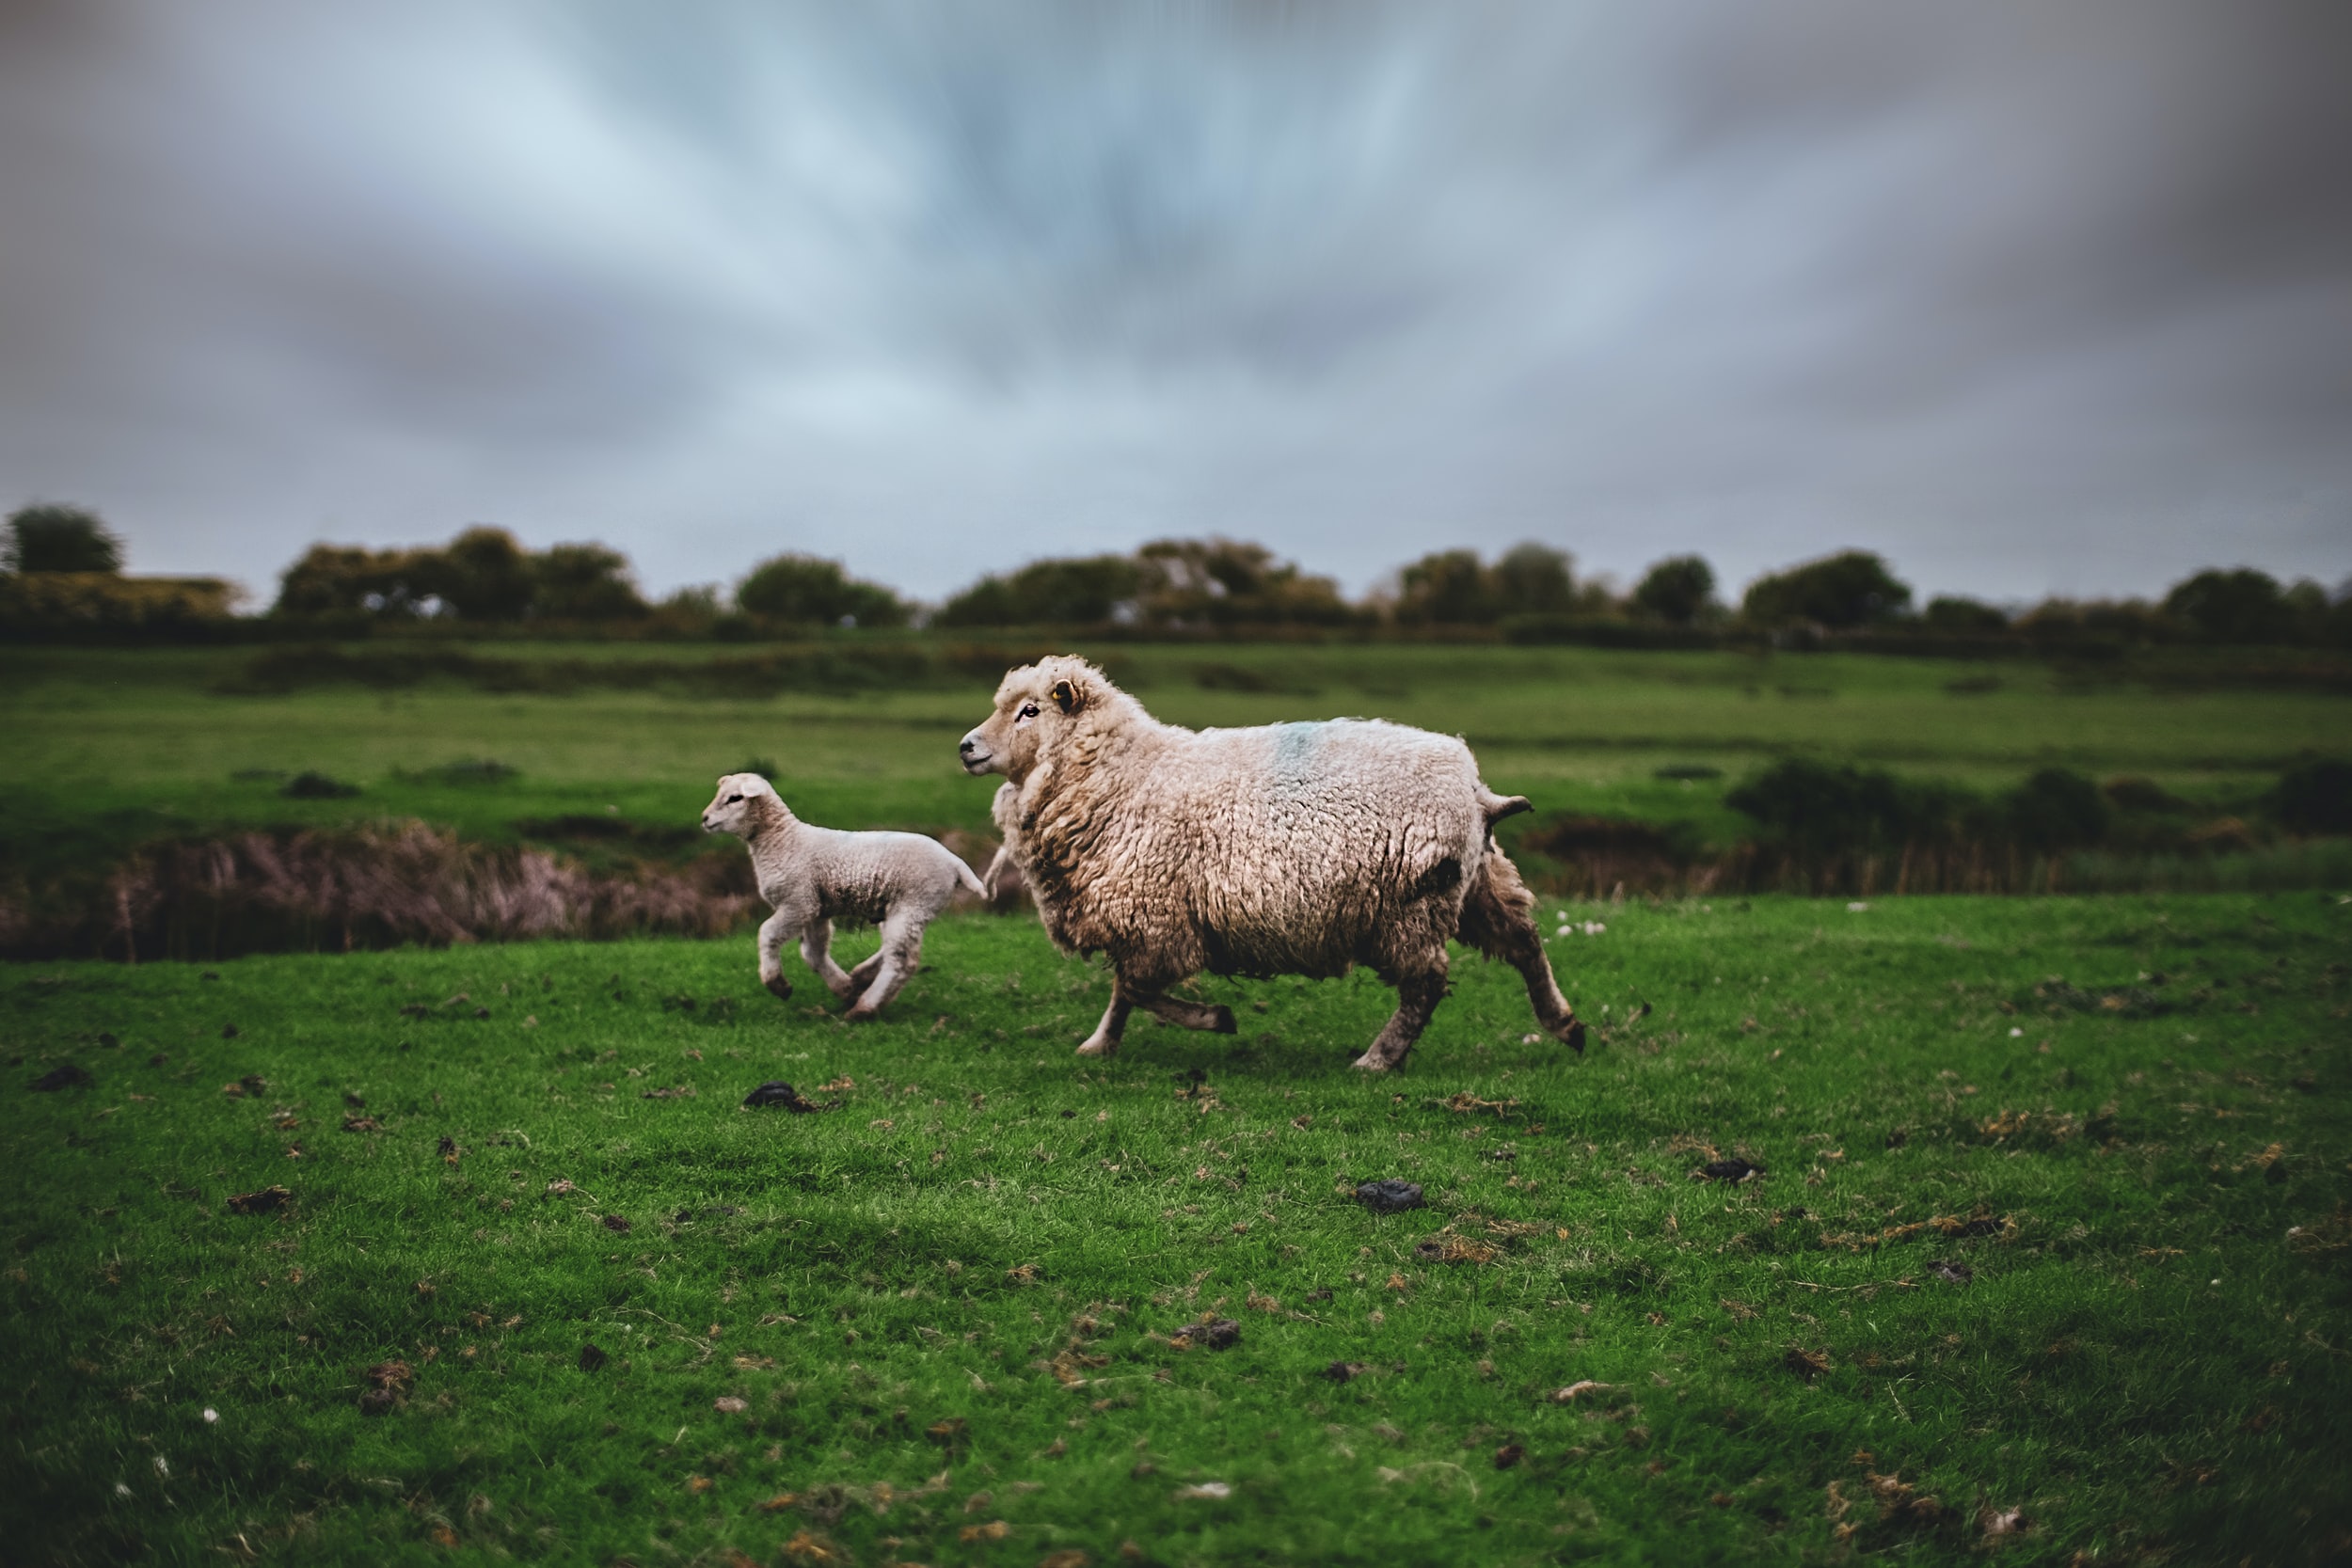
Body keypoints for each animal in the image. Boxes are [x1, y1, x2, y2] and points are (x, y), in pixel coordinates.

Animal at [700, 773, 983, 1020]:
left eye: (735, 798)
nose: (704, 818)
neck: (783, 840)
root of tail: (955, 862)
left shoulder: (798, 901)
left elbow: (767, 933)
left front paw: (778, 984)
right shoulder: (816, 907)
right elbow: (813, 953)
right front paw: (844, 988)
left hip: (913, 904)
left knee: (902, 960)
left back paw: (865, 1008)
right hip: (908, 909)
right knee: (897, 948)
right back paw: (862, 978)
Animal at [956, 656, 1584, 1069]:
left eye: (1029, 711)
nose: (965, 747)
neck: (1123, 775)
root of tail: (1475, 790)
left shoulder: (1157, 919)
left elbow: (1135, 989)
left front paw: (1215, 1018)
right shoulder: (1144, 920)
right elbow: (1123, 993)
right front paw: (1099, 1045)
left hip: (1410, 907)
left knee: (1425, 987)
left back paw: (1378, 1059)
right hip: (1478, 885)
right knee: (1525, 942)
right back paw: (1565, 1024)